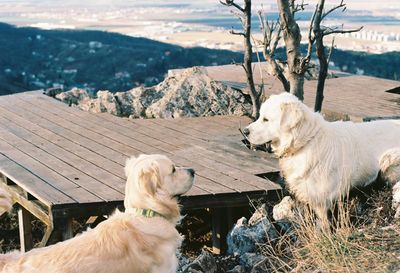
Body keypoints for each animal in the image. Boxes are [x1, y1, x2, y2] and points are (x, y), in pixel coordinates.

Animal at [242, 92, 400, 220]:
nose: (245, 131)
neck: (305, 141)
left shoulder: (323, 200)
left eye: (266, 119)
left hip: (388, 159)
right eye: (260, 117)